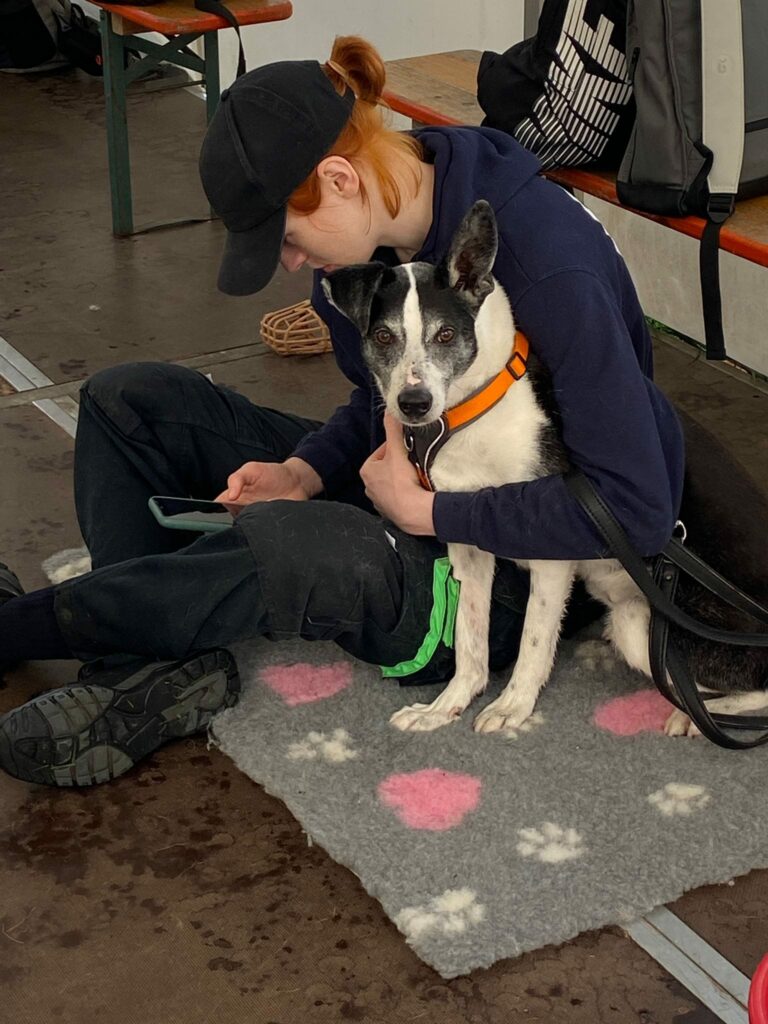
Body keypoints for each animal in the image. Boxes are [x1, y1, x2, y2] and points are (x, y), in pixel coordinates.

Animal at [323, 200, 768, 737]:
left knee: (749, 689)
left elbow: (534, 640)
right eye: (384, 336)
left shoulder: (552, 553)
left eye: (445, 334)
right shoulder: (467, 547)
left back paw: (690, 717)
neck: (472, 414)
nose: (413, 404)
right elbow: (470, 642)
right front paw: (446, 706)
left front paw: (513, 706)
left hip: (648, 628)